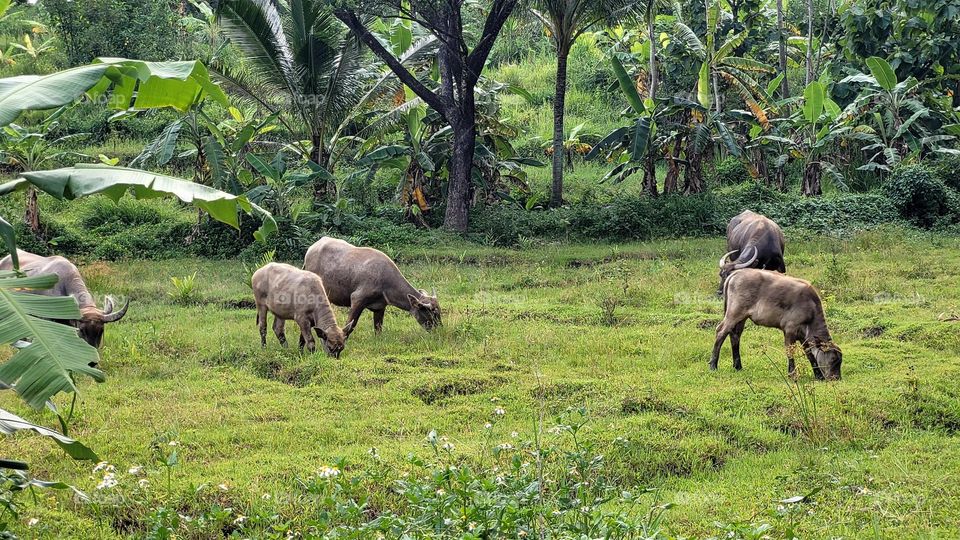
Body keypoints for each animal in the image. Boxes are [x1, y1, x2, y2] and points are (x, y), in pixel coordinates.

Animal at [708, 268, 844, 380]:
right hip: (734, 312)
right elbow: (790, 352)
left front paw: (818, 376)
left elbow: (810, 355)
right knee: (721, 331)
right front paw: (792, 375)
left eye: (840, 361)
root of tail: (736, 273)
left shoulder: (804, 336)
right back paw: (713, 365)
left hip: (742, 317)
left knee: (735, 335)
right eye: (833, 359)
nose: (836, 378)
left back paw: (738, 366)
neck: (811, 307)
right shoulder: (790, 330)